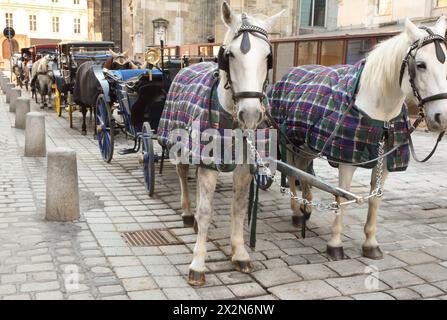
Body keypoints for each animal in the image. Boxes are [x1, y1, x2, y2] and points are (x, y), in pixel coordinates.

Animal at [274, 17, 447, 262]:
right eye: (421, 64)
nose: (443, 117)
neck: (380, 113)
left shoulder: (385, 162)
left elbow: (375, 200)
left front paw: (370, 243)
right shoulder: (347, 161)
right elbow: (341, 198)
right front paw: (335, 244)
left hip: (306, 144)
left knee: (302, 170)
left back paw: (306, 208)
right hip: (289, 141)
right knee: (290, 172)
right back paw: (296, 211)